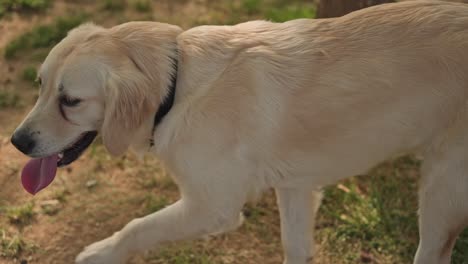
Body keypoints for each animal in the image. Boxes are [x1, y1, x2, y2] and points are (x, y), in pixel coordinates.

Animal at [8, 0, 468, 262]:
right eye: (40, 85)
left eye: (71, 101)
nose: (17, 142)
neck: (178, 85)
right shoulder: (296, 186)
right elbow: (295, 249)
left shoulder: (212, 207)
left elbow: (138, 226)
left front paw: (101, 252)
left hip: (441, 192)